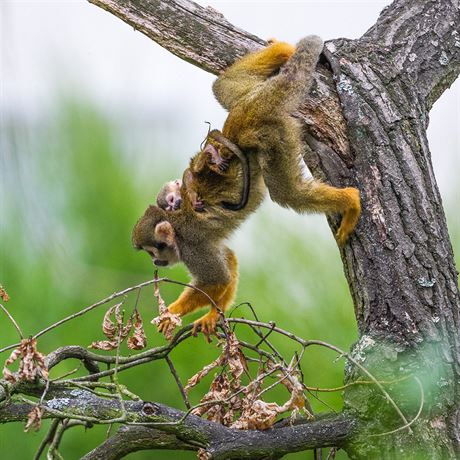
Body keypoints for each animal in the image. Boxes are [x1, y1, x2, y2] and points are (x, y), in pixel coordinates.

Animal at [131, 36, 362, 338]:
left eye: (154, 250)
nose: (155, 263)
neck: (175, 228)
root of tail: (255, 109)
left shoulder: (192, 246)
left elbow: (216, 280)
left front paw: (172, 313)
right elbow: (228, 259)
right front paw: (214, 315)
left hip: (274, 133)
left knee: (286, 192)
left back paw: (351, 200)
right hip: (248, 100)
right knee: (223, 88)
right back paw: (283, 50)